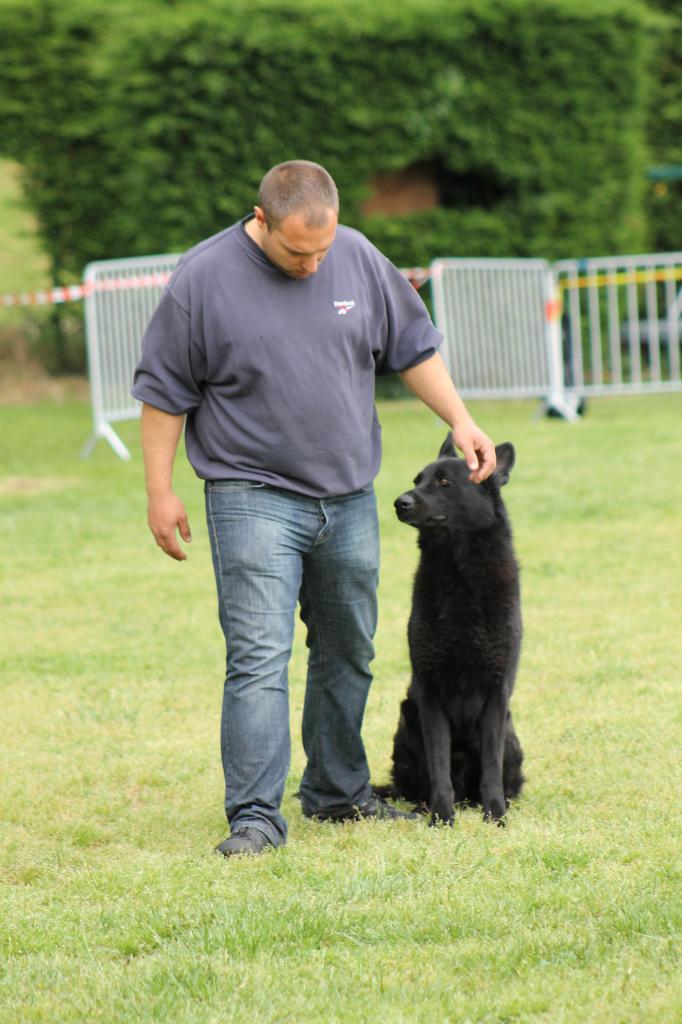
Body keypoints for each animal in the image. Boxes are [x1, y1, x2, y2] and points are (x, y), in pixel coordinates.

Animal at [374, 432, 522, 823]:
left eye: (443, 482)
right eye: (417, 480)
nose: (399, 502)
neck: (459, 571)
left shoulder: (496, 694)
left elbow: (490, 768)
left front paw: (496, 815)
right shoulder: (430, 695)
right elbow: (439, 766)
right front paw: (442, 817)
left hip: (511, 736)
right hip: (407, 722)